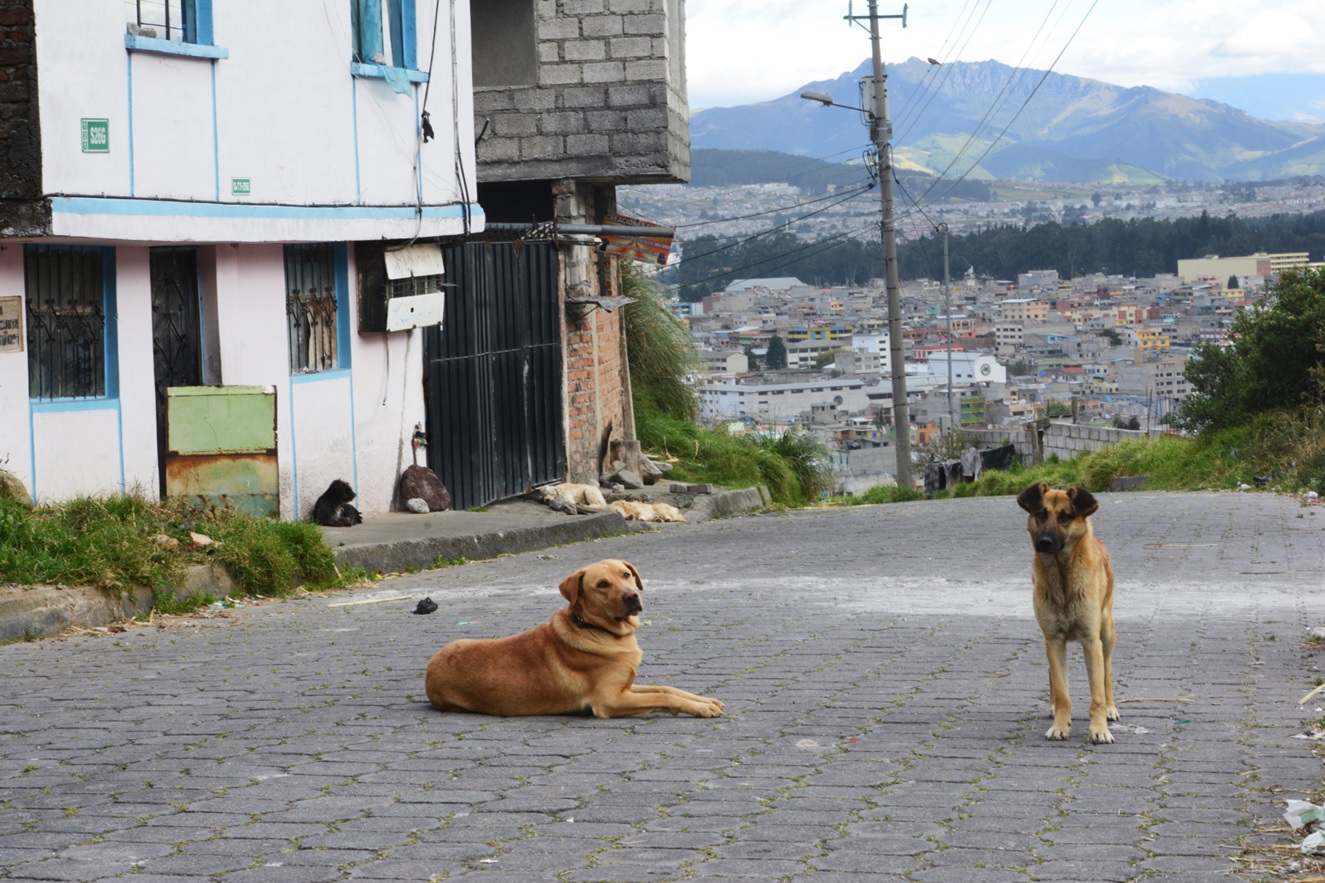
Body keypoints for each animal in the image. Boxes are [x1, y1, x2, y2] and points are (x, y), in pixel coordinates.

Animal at [424, 556, 726, 715]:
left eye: (626, 575)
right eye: (602, 584)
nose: (632, 596)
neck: (595, 628)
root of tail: (429, 671)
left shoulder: (625, 686)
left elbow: (665, 689)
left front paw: (704, 701)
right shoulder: (610, 700)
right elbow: (661, 698)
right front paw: (699, 709)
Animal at [1017, 485, 1113, 737]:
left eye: (1065, 517)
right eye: (1041, 514)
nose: (1044, 541)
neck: (1062, 579)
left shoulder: (1091, 641)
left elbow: (1097, 693)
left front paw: (1099, 729)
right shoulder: (1053, 640)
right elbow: (1062, 692)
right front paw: (1060, 725)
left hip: (1107, 634)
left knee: (1107, 673)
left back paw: (1111, 708)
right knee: (1053, 676)